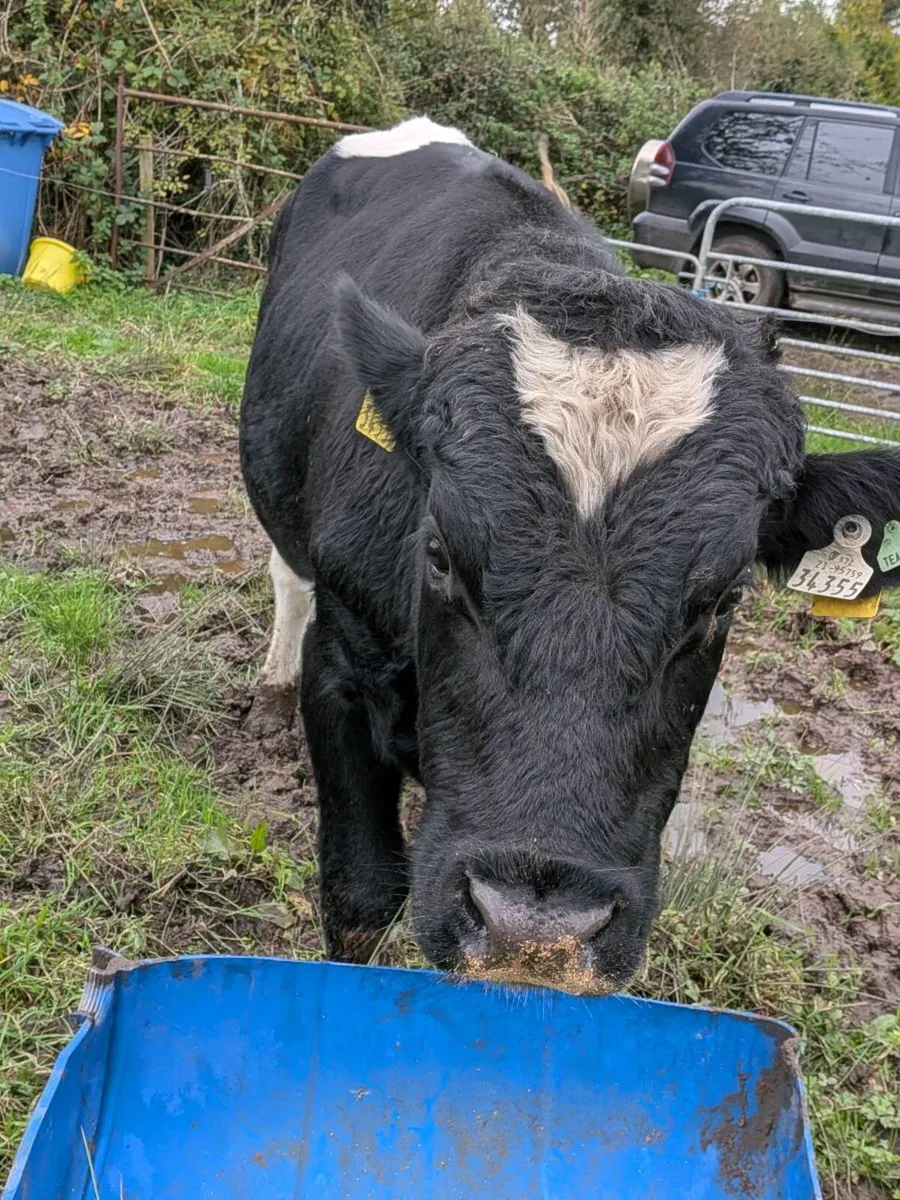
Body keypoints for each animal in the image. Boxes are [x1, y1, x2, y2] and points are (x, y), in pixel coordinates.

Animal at [240, 117, 900, 994]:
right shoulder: (343, 663)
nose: (534, 932)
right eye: (439, 553)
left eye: (727, 598)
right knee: (288, 572)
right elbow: (360, 892)